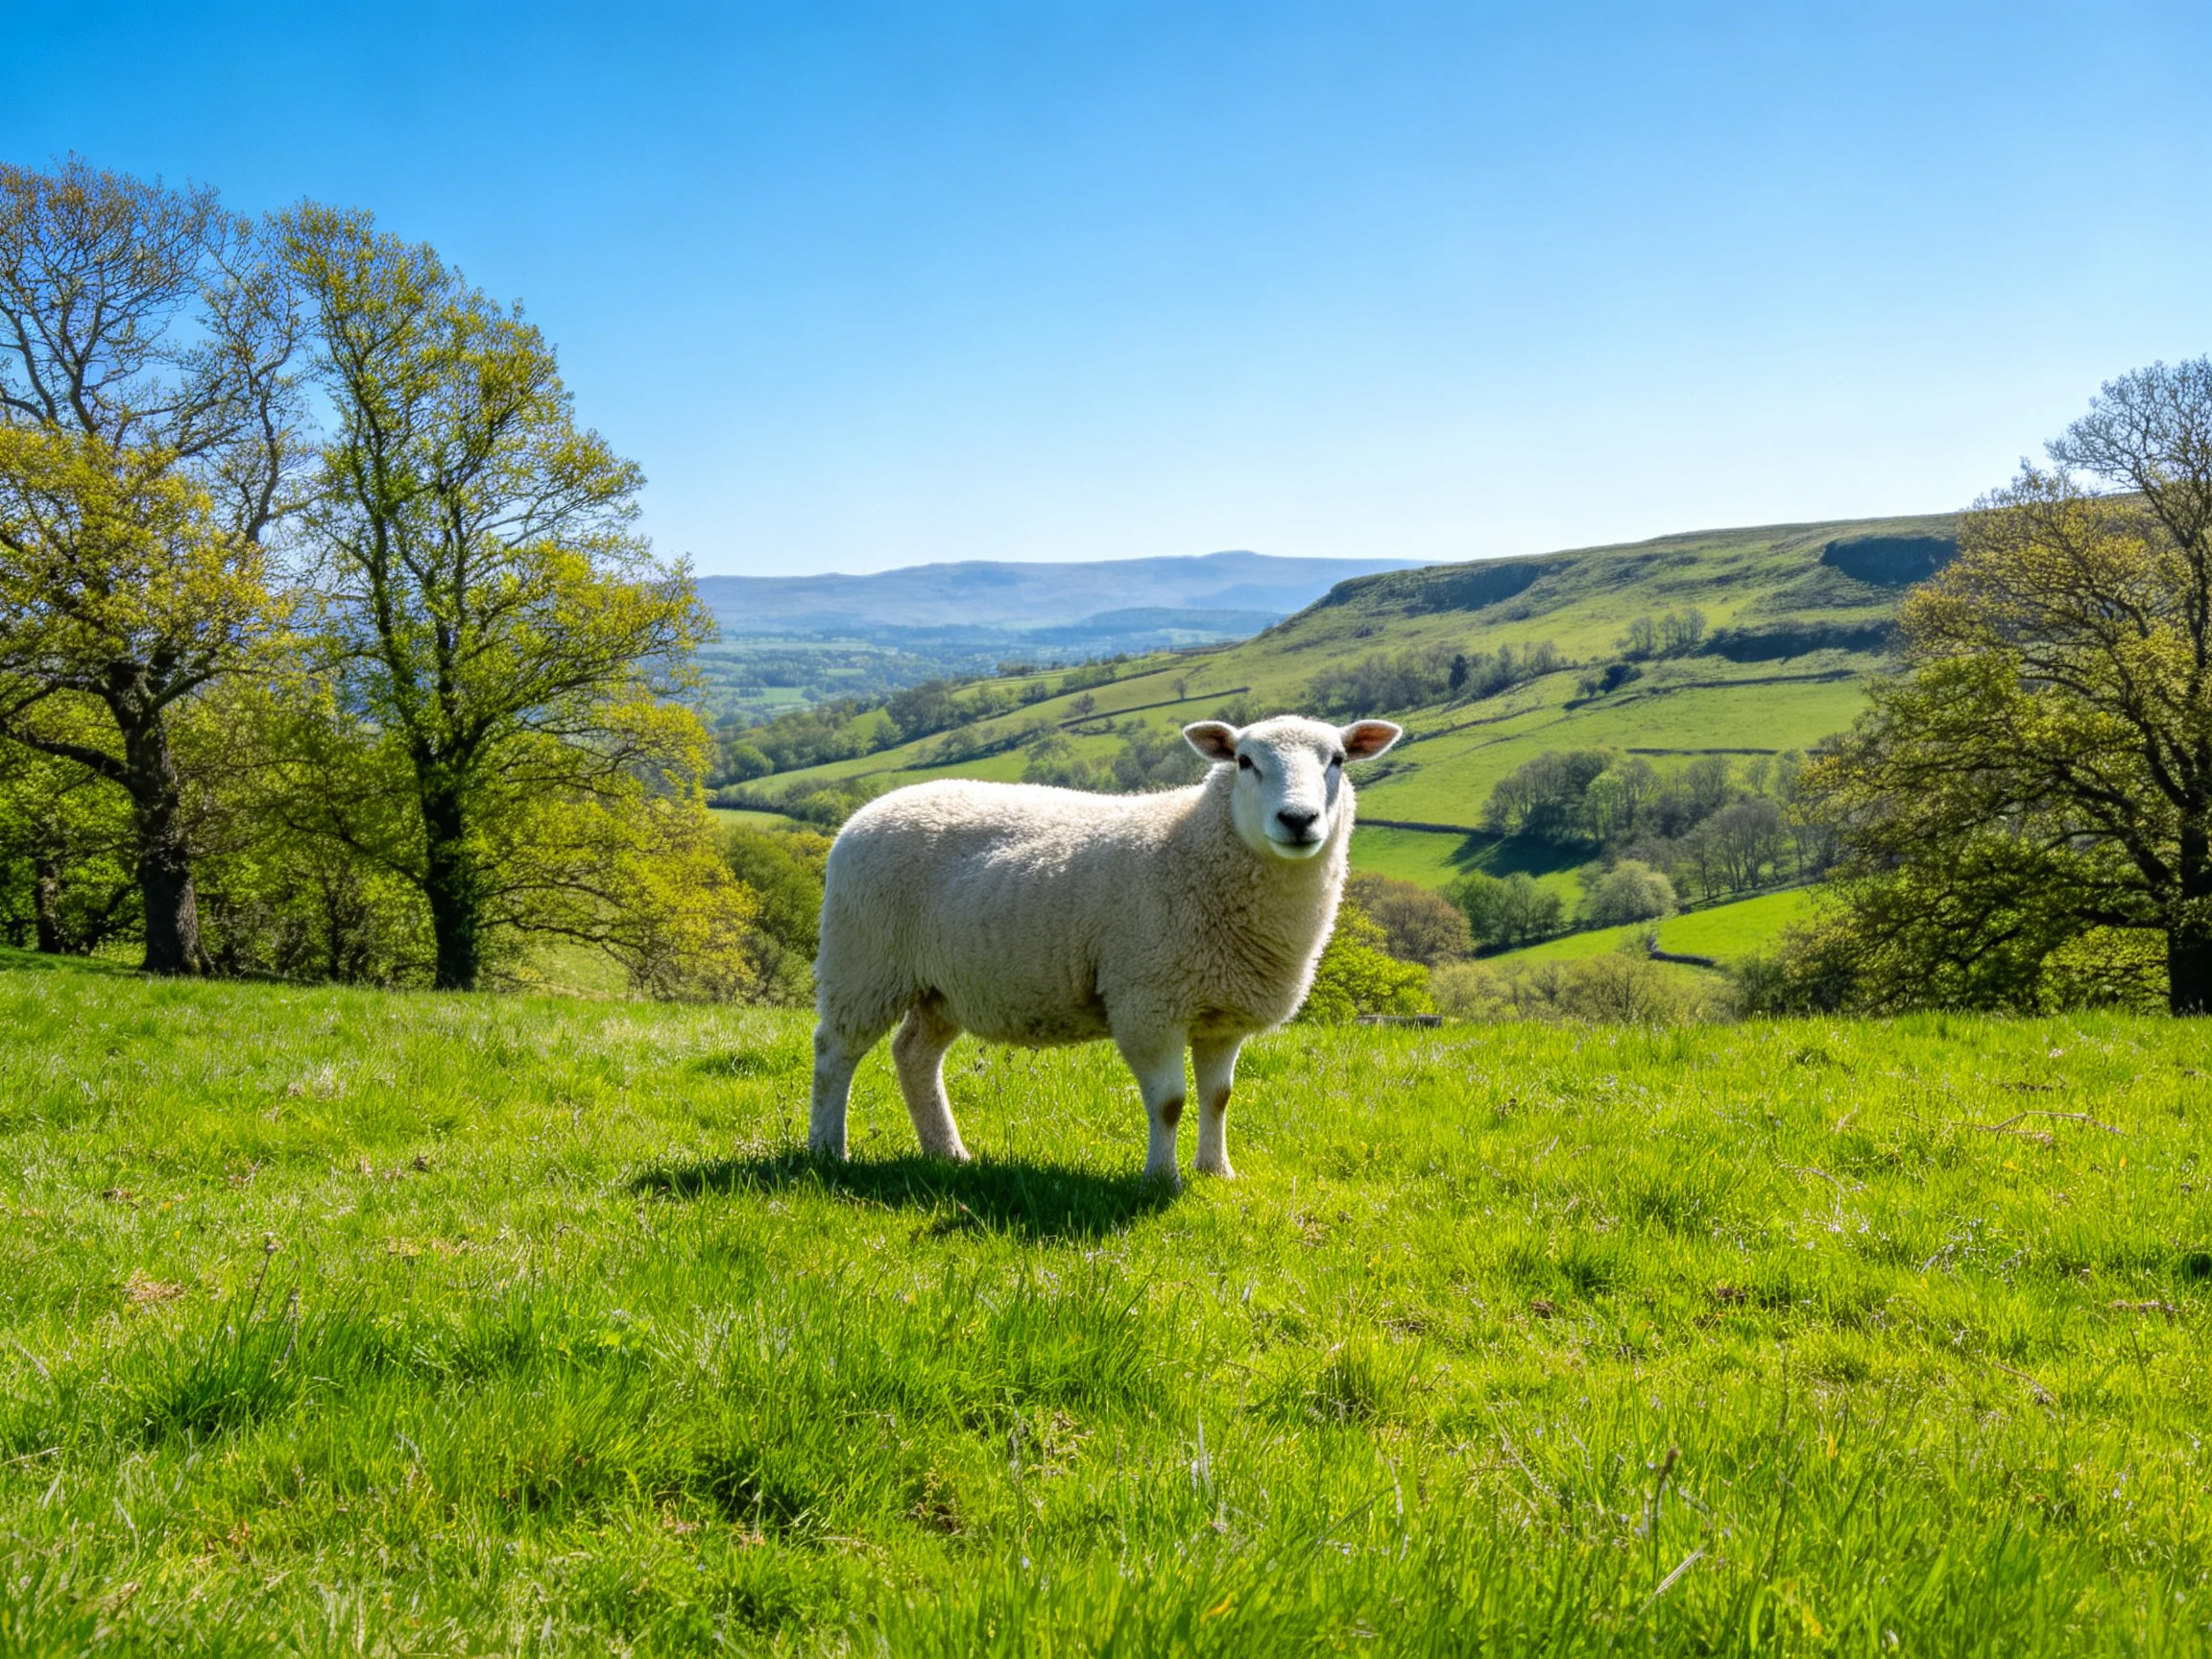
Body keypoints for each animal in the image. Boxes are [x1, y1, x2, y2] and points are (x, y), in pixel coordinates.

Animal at [807, 714, 1402, 1187]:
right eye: (1244, 761)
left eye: (1338, 760)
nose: (1298, 820)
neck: (1192, 845)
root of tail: (867, 812)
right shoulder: (1148, 1004)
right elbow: (1170, 1103)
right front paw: (1161, 1180)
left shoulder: (1222, 1012)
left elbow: (1218, 1097)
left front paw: (1217, 1172)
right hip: (862, 961)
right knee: (834, 1052)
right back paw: (827, 1150)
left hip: (944, 985)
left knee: (914, 1055)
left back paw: (948, 1153)